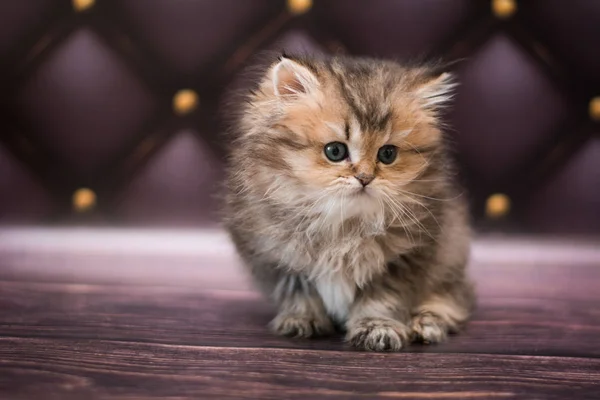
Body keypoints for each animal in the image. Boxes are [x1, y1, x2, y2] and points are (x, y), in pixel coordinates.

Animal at [223, 52, 476, 350]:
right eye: (335, 151)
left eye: (387, 154)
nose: (365, 178)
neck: (344, 223)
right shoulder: (277, 256)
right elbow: (299, 294)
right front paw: (303, 320)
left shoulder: (402, 259)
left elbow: (381, 301)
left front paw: (377, 328)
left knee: (453, 298)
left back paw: (426, 324)